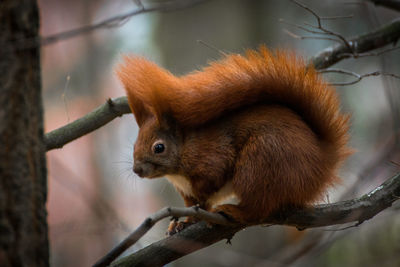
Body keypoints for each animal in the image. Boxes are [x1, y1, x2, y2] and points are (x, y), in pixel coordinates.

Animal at [115, 45, 350, 230]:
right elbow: (194, 206)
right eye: (134, 145)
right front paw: (185, 221)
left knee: (258, 208)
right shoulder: (186, 193)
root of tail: (322, 162)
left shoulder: (212, 156)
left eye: (159, 148)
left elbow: (214, 177)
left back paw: (235, 211)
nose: (137, 170)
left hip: (262, 162)